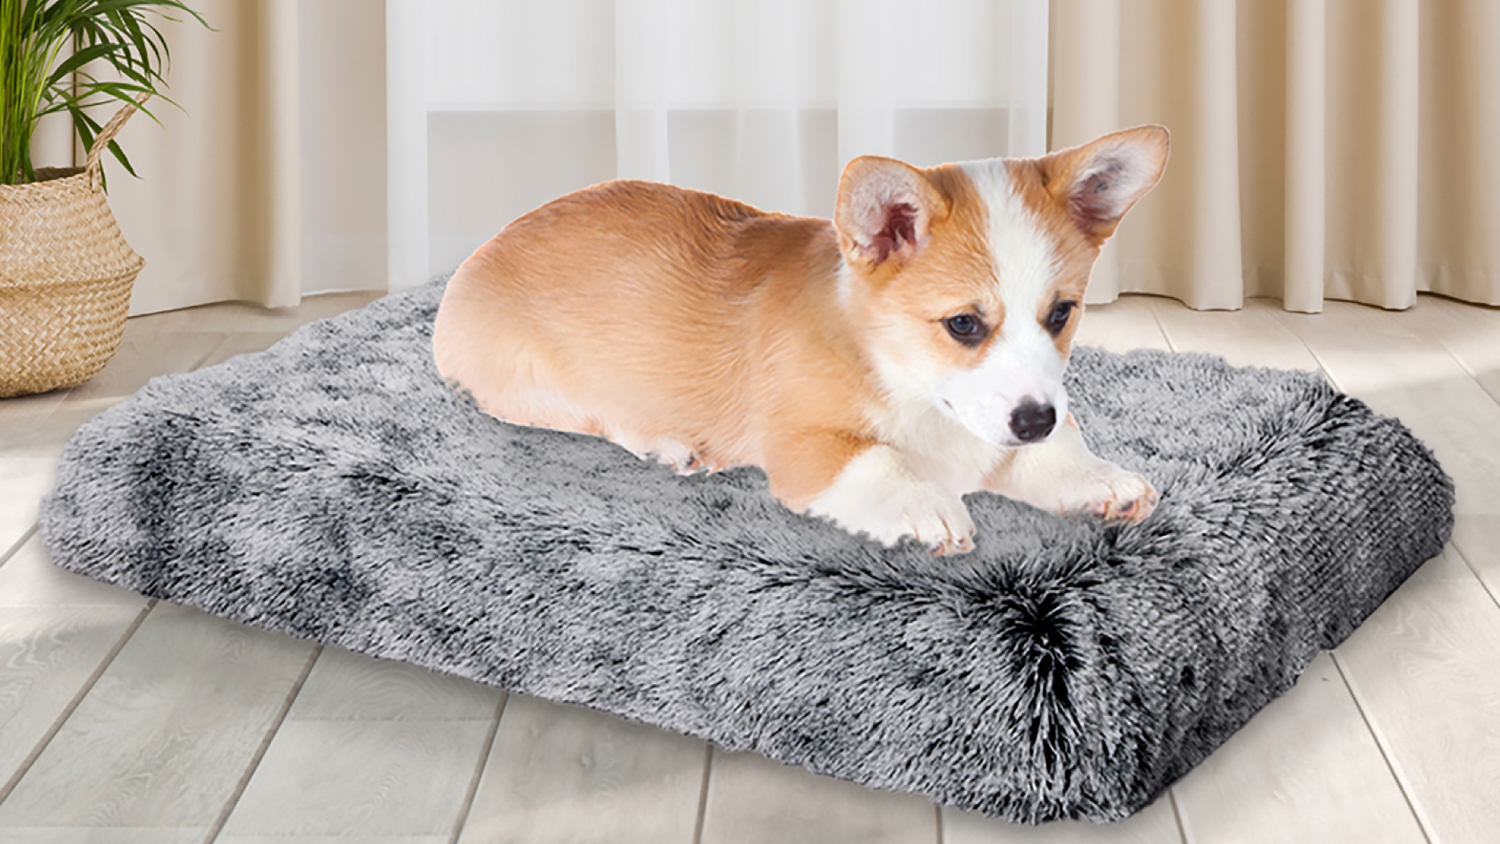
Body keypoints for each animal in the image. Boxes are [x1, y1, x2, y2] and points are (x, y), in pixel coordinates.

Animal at [433, 125, 1170, 554]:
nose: (1035, 420)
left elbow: (1049, 456)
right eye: (964, 324)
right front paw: (925, 505)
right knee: (589, 416)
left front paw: (1092, 476)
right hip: (529, 382)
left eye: (1062, 314)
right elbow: (876, 462)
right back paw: (667, 445)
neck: (908, 382)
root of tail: (486, 245)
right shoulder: (804, 446)